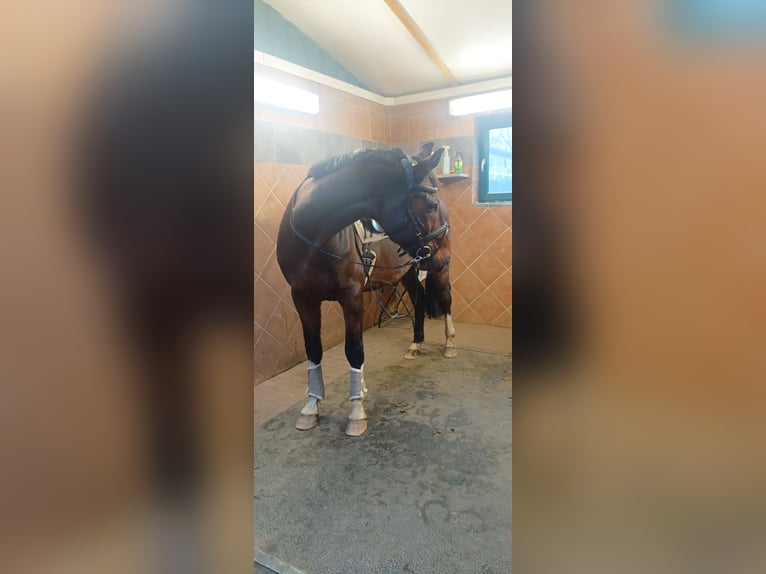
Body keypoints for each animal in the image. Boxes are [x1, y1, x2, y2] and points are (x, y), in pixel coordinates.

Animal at [276, 144, 447, 436]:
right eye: (430, 205)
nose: (440, 257)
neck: (313, 236)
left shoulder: (351, 298)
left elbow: (355, 350)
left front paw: (356, 412)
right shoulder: (302, 298)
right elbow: (314, 349)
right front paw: (311, 407)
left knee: (446, 301)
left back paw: (450, 345)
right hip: (408, 271)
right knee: (419, 299)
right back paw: (415, 344)